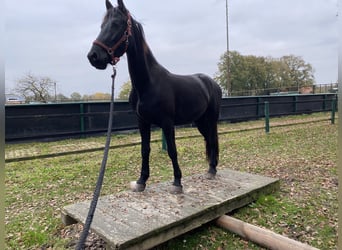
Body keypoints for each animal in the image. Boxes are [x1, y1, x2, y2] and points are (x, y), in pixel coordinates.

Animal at [87, 0, 222, 193]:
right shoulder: (142, 122)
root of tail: (211, 83)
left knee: (212, 139)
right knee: (208, 140)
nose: (94, 56)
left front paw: (177, 182)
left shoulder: (167, 123)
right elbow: (145, 150)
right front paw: (141, 181)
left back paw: (211, 170)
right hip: (200, 121)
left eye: (116, 24)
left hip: (210, 119)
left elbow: (172, 150)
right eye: (102, 25)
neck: (147, 84)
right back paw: (211, 168)